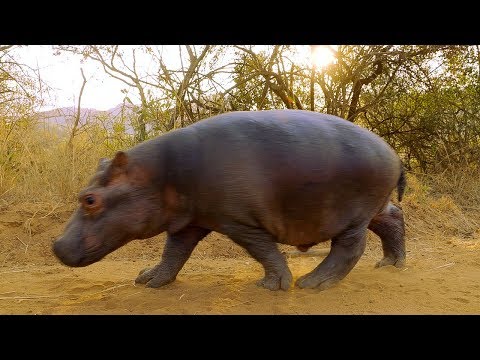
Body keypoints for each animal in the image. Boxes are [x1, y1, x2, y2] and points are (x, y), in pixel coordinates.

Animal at [52, 108, 404, 292]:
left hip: (354, 215)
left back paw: (312, 283)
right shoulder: (188, 222)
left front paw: (273, 286)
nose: (55, 245)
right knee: (393, 217)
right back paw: (391, 264)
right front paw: (148, 279)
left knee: (349, 248)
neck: (157, 174)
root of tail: (394, 153)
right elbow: (173, 253)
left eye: (90, 199)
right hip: (374, 207)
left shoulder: (239, 221)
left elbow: (263, 251)